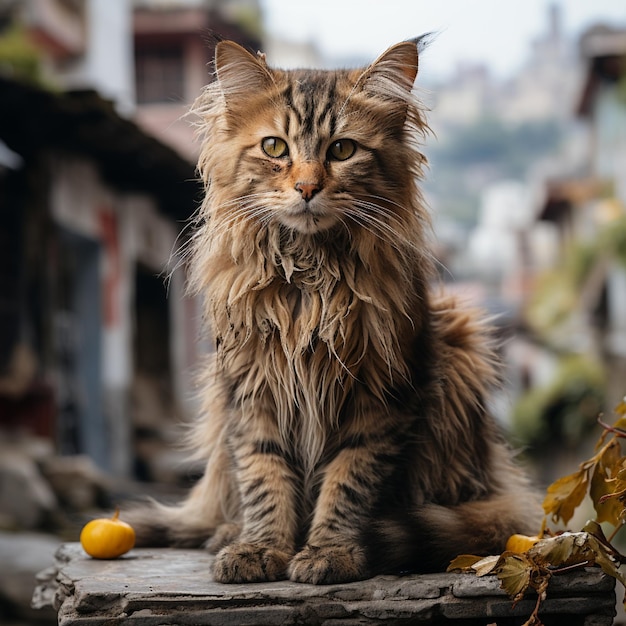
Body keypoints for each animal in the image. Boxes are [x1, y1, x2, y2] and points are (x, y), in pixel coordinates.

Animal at [124, 37, 540, 584]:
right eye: (275, 148)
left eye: (342, 150)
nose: (306, 188)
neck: (308, 276)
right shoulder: (251, 392)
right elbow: (264, 479)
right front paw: (261, 548)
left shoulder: (380, 398)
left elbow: (348, 485)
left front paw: (330, 550)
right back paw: (227, 532)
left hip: (460, 347)